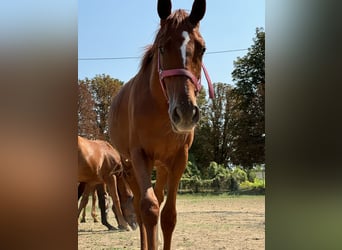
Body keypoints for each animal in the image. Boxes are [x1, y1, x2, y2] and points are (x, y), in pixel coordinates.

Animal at [109, 0, 211, 248]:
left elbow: (168, 216)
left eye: (202, 49)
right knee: (139, 207)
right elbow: (148, 209)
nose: (186, 113)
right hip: (129, 168)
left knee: (157, 198)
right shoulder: (139, 156)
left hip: (162, 165)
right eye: (162, 48)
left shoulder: (179, 158)